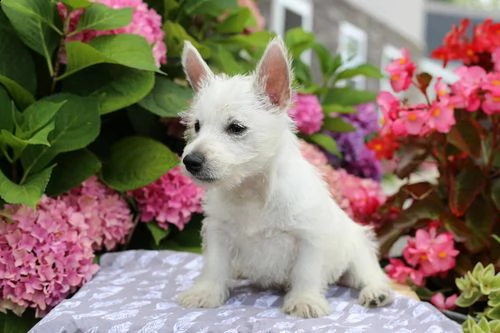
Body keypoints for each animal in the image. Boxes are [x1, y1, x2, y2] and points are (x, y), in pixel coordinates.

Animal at [178, 37, 392, 316]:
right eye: (197, 126)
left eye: (236, 128)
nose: (190, 161)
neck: (251, 190)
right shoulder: (218, 232)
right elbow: (214, 266)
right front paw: (205, 292)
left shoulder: (309, 237)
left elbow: (306, 272)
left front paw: (304, 300)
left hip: (357, 250)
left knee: (370, 273)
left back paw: (377, 292)